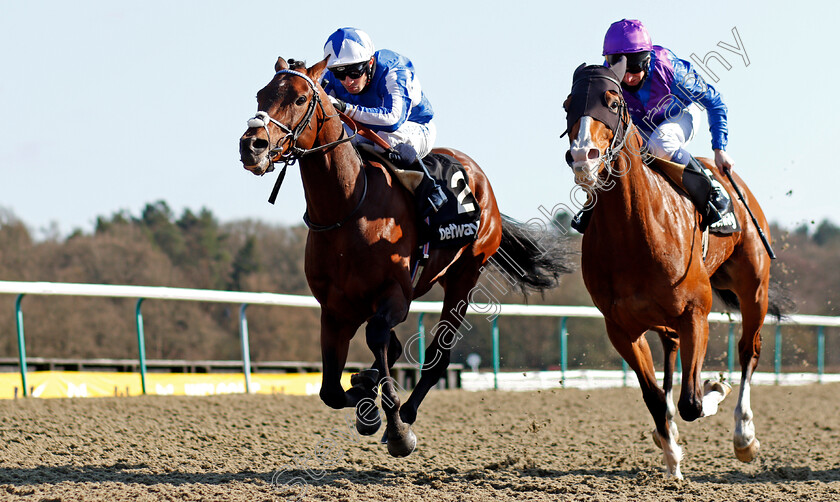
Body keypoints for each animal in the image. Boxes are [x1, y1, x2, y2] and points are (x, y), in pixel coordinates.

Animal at [240, 56, 576, 456]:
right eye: (260, 94)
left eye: (301, 98)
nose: (252, 145)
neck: (347, 208)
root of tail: (479, 178)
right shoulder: (334, 310)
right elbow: (332, 390)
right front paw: (365, 398)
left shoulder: (394, 295)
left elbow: (379, 338)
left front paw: (396, 427)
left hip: (464, 275)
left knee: (436, 357)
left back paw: (408, 411)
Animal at [560, 62, 784, 478]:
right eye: (568, 104)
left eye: (611, 103)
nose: (583, 155)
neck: (633, 231)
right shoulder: (621, 327)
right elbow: (652, 394)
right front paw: (672, 456)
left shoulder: (695, 312)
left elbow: (692, 402)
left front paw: (715, 389)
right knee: (672, 352)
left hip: (753, 287)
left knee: (749, 350)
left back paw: (744, 435)